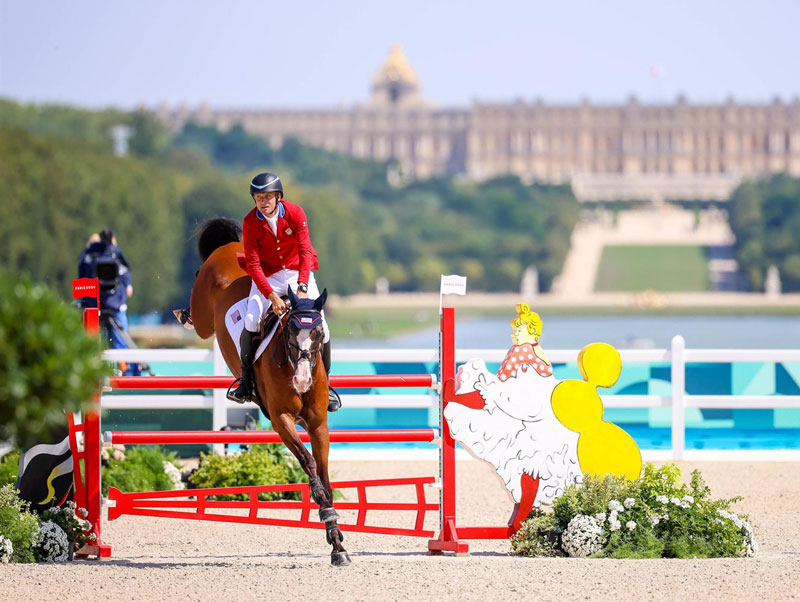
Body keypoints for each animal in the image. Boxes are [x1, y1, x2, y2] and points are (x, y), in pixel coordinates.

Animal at [189, 216, 352, 564]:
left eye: (319, 333)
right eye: (289, 331)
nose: (302, 382)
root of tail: (228, 248)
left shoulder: (318, 424)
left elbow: (324, 469)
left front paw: (337, 542)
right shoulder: (281, 420)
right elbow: (308, 462)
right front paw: (326, 514)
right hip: (204, 319)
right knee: (196, 317)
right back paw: (182, 313)